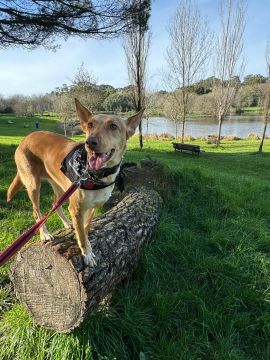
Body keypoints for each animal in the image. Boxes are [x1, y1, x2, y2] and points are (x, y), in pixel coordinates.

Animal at [7, 100, 144, 266]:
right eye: (90, 125)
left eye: (113, 126)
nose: (90, 142)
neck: (97, 175)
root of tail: (25, 138)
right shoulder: (76, 209)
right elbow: (82, 233)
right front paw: (86, 253)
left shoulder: (93, 207)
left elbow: (85, 228)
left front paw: (86, 243)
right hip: (34, 184)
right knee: (36, 211)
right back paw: (44, 234)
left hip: (60, 186)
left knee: (55, 204)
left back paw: (67, 223)